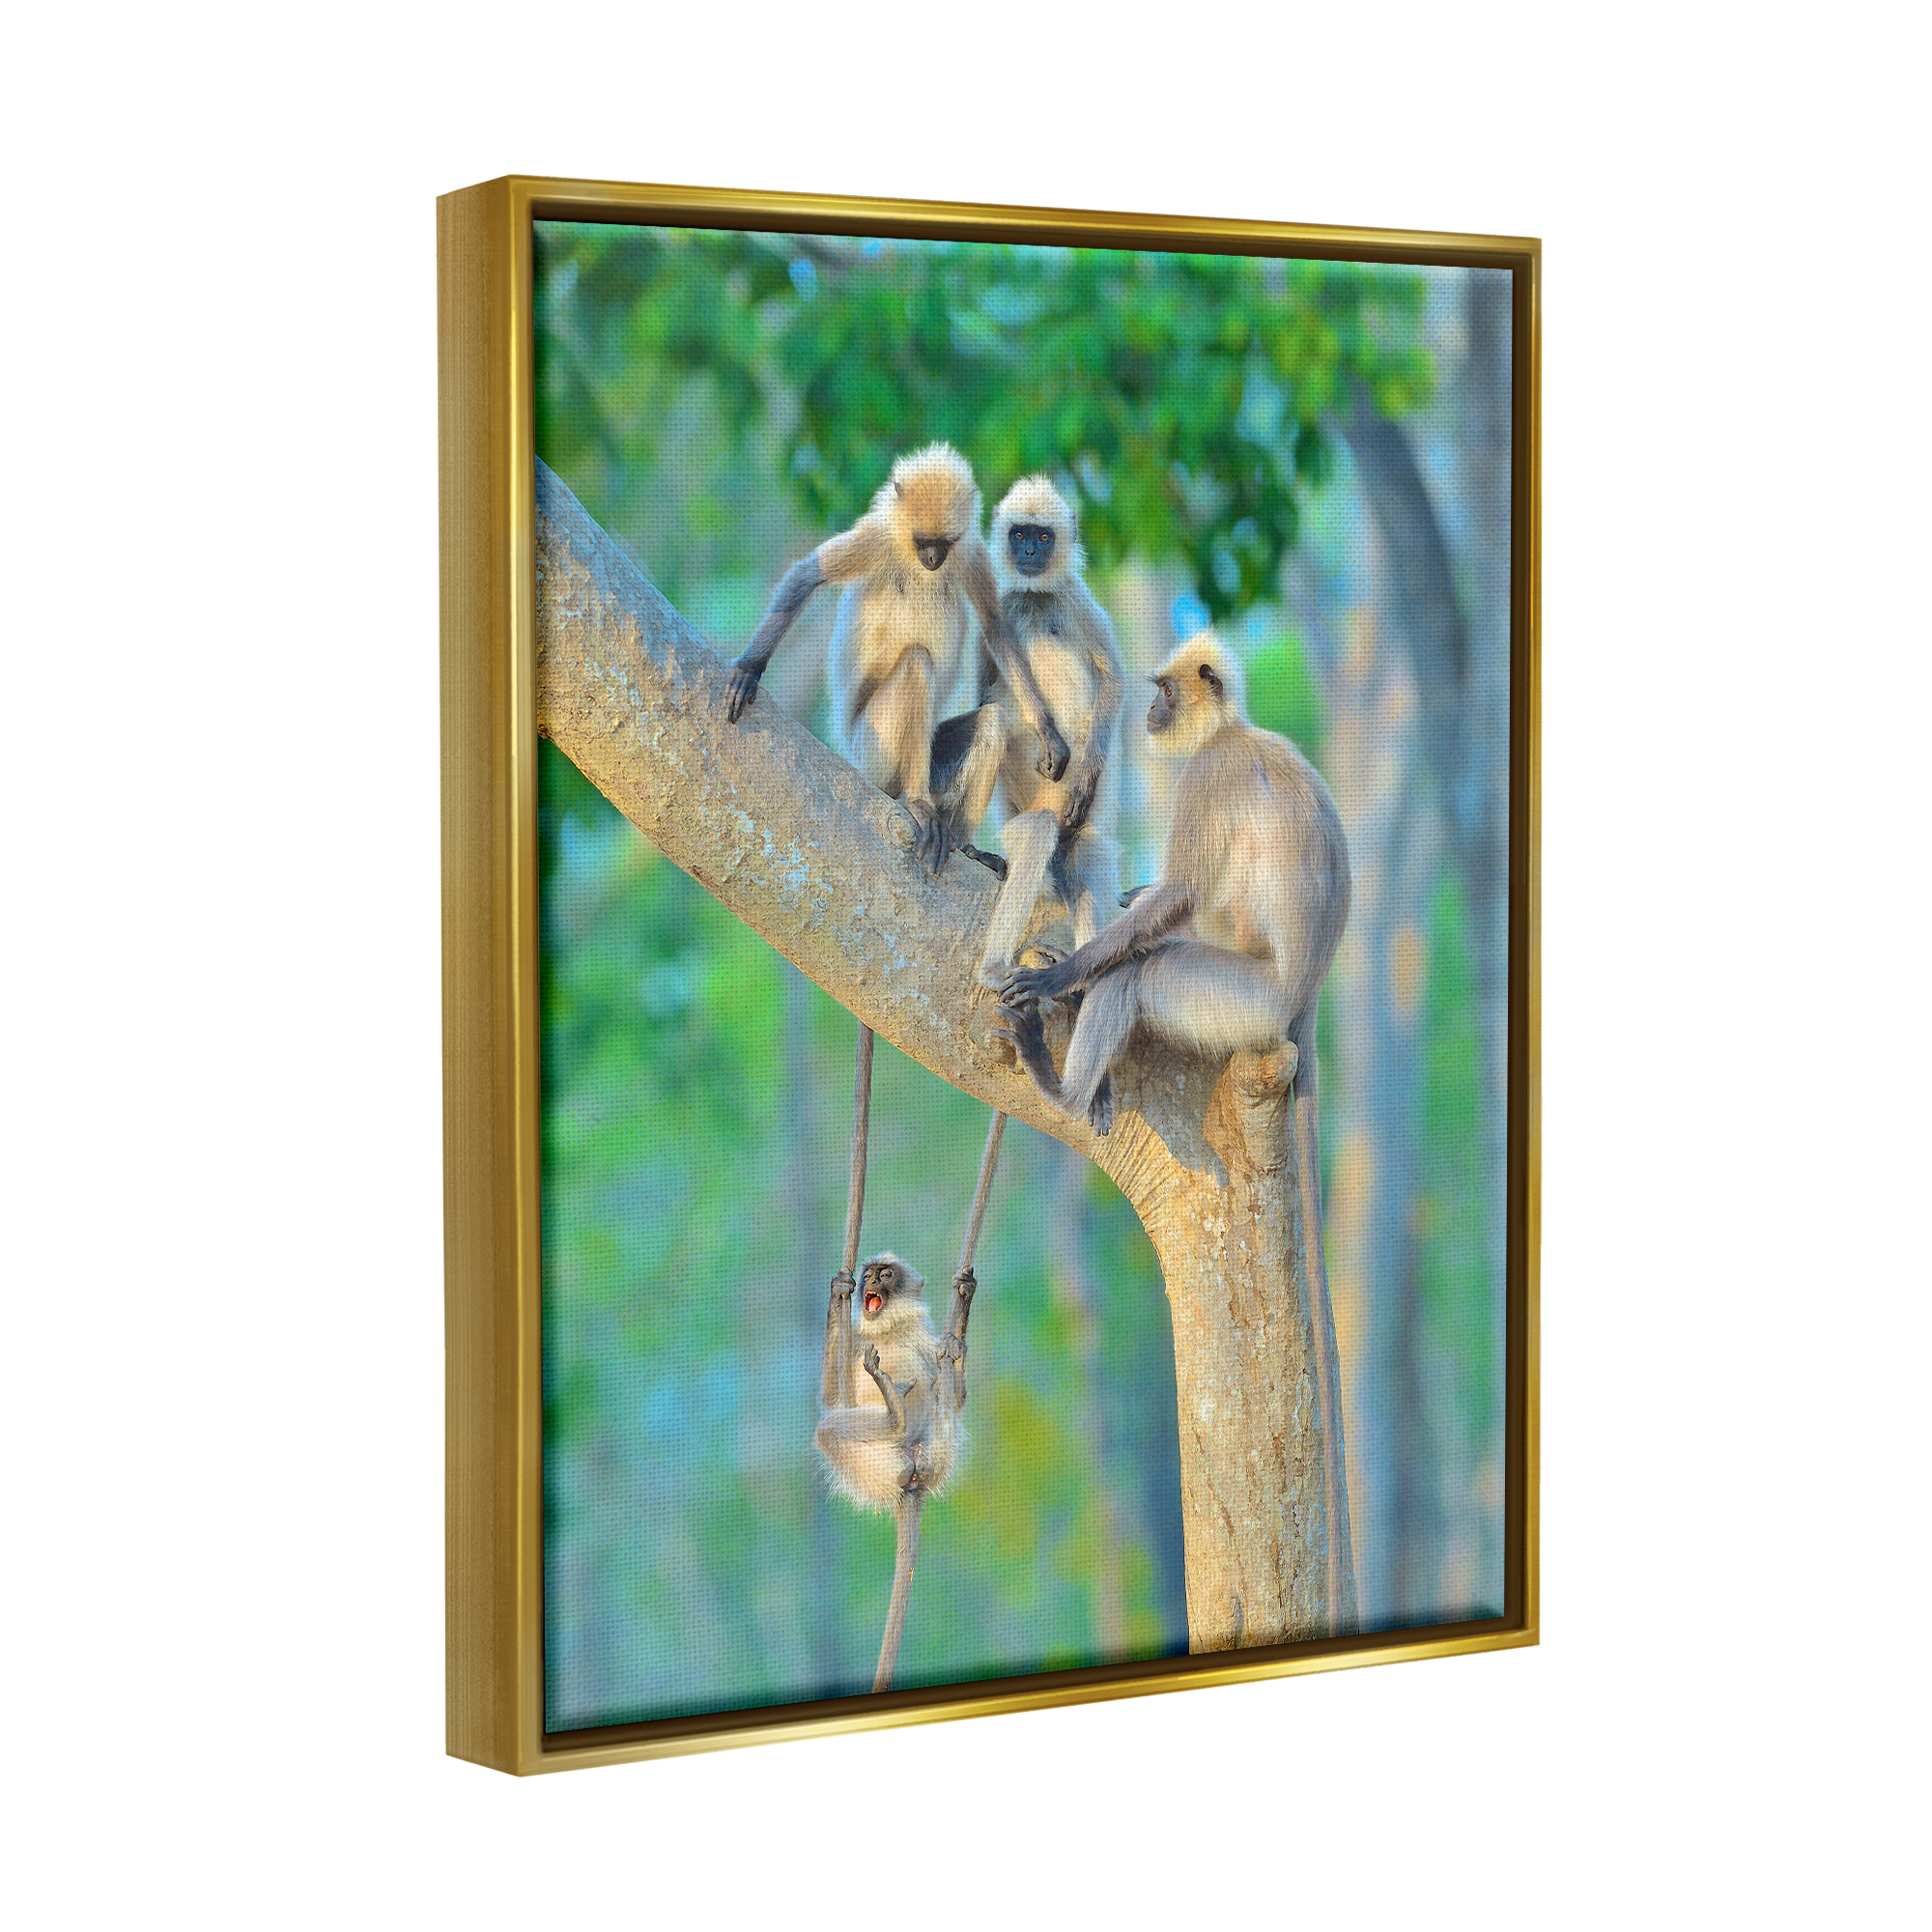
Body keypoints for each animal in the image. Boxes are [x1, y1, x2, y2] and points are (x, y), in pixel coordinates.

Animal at [721, 442, 1069, 875]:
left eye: (944, 543)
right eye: (922, 542)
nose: (933, 559)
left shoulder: (969, 550)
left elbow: (996, 629)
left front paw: (1049, 733)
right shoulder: (877, 536)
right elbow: (807, 576)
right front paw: (750, 668)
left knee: (992, 722)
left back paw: (964, 844)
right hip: (871, 752)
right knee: (918, 664)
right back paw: (917, 803)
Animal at [817, 1252, 975, 1691]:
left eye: (886, 1275)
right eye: (869, 1274)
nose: (870, 1281)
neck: (887, 1332)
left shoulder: (926, 1341)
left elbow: (956, 1397)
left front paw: (960, 1320)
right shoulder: (857, 1343)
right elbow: (832, 1397)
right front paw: (839, 1289)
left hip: (937, 1451)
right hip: (874, 1466)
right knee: (831, 1431)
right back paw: (893, 1418)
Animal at [973, 476, 1126, 989]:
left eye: (1043, 537)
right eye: (1020, 535)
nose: (1029, 555)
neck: (1037, 597)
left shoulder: (1076, 599)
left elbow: (1113, 679)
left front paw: (1086, 775)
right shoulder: (1001, 608)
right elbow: (985, 694)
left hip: (1077, 826)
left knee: (1088, 854)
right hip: (1028, 821)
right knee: (1038, 833)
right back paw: (994, 965)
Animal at [992, 632, 1356, 1630]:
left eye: (1161, 691)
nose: (1151, 712)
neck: (1234, 730)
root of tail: (1303, 1000)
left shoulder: (1210, 775)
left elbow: (1181, 897)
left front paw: (1063, 976)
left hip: (1236, 1001)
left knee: (1146, 972)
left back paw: (1065, 1082)